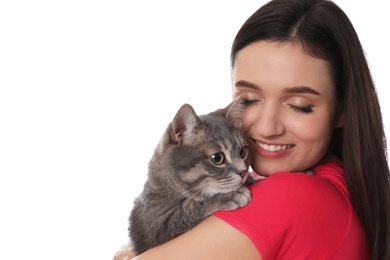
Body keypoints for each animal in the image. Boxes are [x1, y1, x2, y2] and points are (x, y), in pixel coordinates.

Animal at [129, 96, 256, 255]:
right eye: (217, 158)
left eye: (242, 152)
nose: (243, 171)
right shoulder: (155, 227)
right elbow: (189, 207)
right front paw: (229, 195)